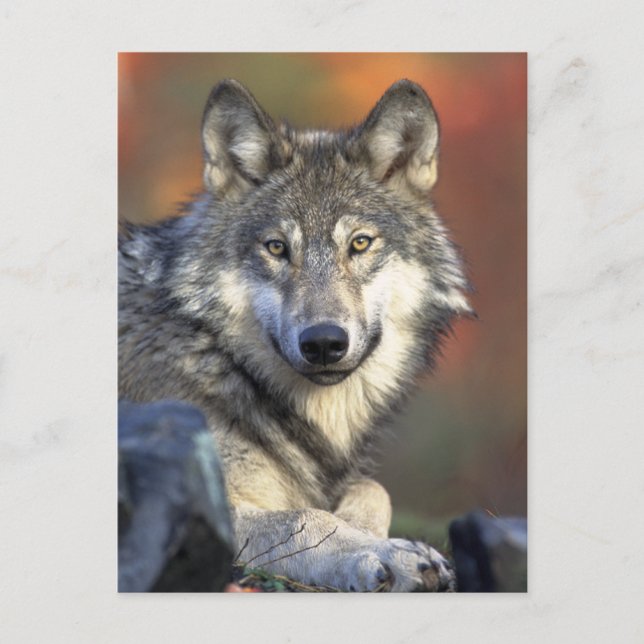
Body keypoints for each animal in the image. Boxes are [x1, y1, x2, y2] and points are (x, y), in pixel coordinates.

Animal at [119, 78, 472, 592]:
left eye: (360, 243)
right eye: (277, 248)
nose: (324, 342)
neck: (217, 358)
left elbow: (373, 488)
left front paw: (372, 535)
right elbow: (306, 518)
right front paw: (386, 553)